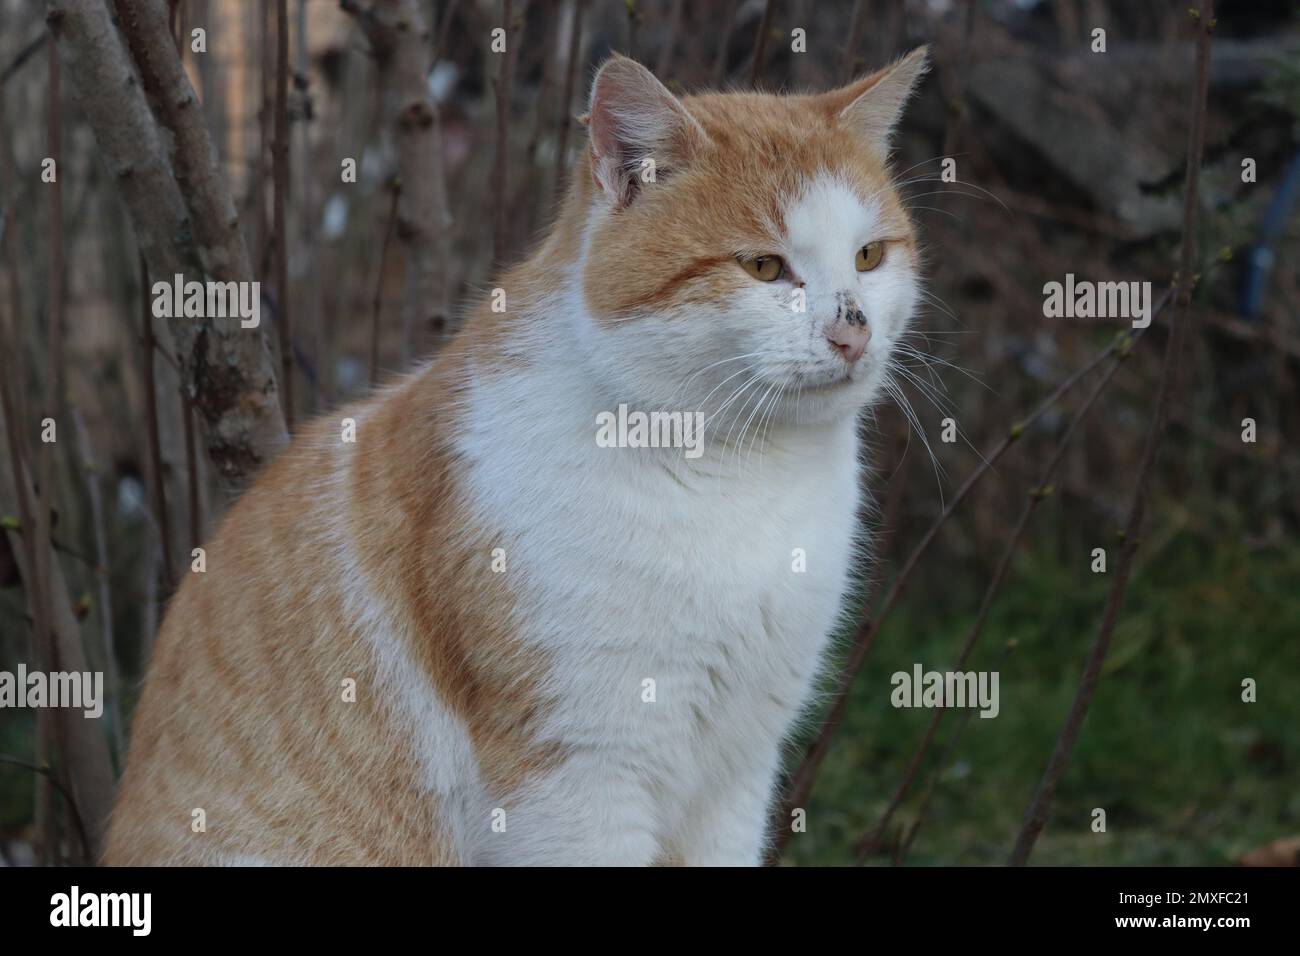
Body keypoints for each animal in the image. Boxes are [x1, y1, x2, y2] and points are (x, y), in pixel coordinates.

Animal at [106, 44, 930, 868]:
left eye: (868, 256)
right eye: (764, 268)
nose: (852, 331)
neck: (740, 472)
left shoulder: (739, 769)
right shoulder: (579, 773)